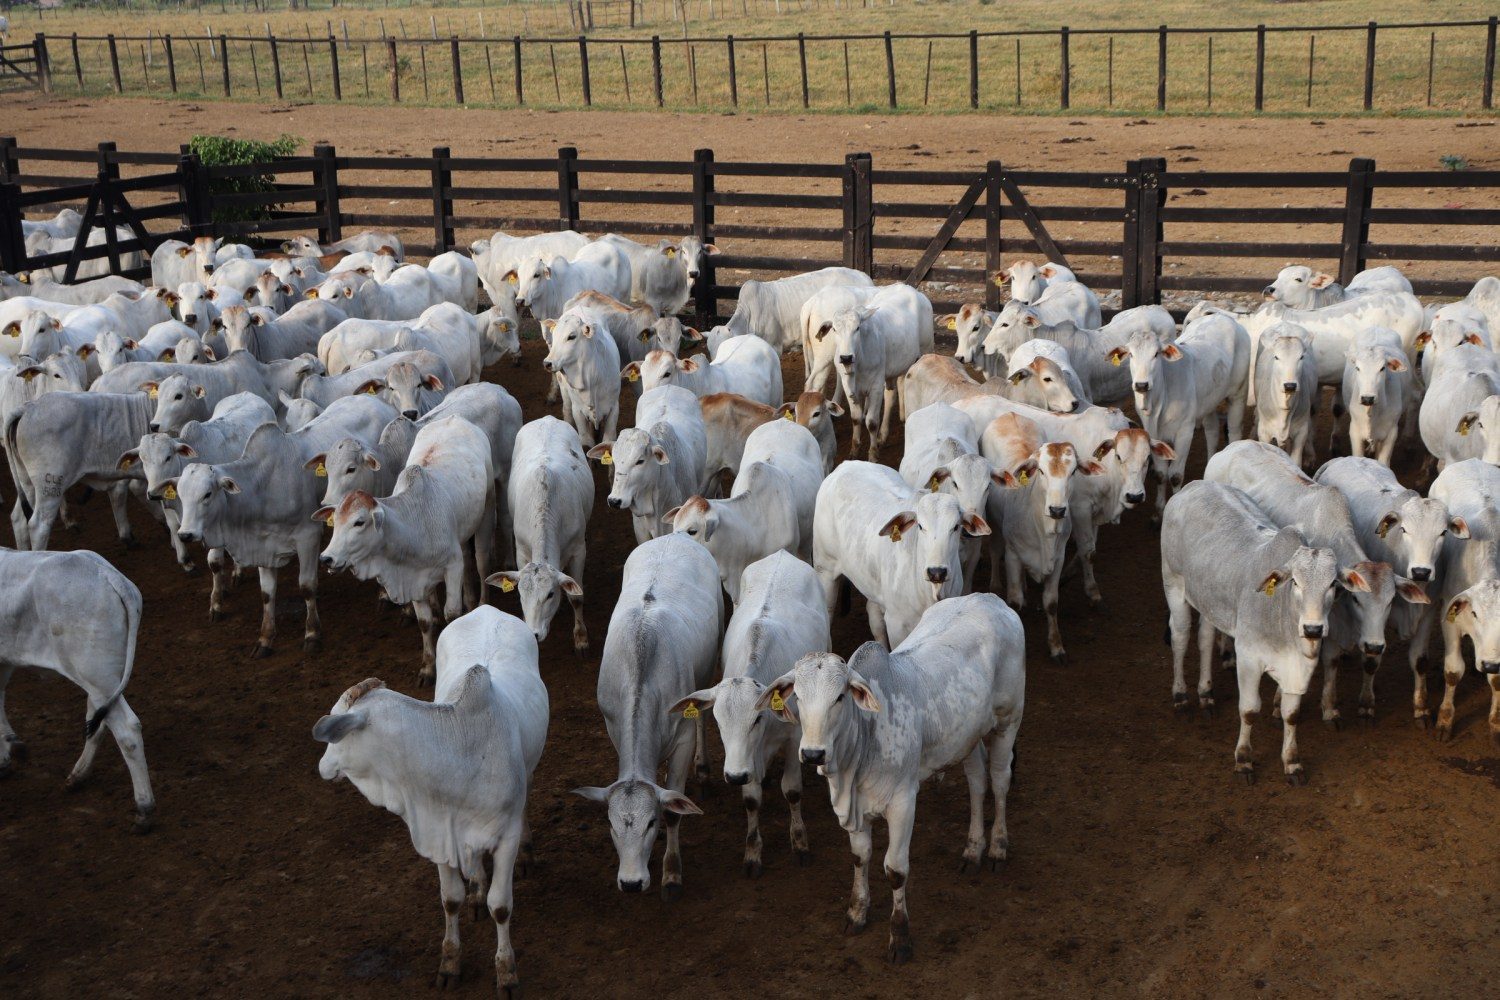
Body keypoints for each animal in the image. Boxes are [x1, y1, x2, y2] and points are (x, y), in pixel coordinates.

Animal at [0, 551, 153, 833]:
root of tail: (109, 575)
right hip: (100, 680)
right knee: (98, 722)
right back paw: (77, 776)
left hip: (95, 674)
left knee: (127, 730)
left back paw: (144, 809)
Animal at [318, 419, 498, 683]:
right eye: (336, 521)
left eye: (359, 522)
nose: (327, 558)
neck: (415, 523)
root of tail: (455, 418)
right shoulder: (414, 576)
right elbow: (424, 623)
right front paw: (427, 668)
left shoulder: (452, 565)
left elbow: (452, 614)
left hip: (487, 510)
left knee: (482, 560)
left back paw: (482, 601)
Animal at [486, 413, 591, 653]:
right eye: (520, 593)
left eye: (550, 594)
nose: (534, 634)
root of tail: (548, 418)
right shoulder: (522, 551)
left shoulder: (579, 549)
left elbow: (577, 598)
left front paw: (581, 638)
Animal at [756, 593, 1026, 959]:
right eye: (797, 695)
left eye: (839, 697)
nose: (812, 753)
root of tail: (991, 599)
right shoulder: (854, 811)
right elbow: (860, 857)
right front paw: (856, 912)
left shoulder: (902, 804)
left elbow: (895, 870)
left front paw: (900, 936)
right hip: (967, 736)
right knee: (976, 781)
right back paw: (973, 851)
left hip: (1009, 720)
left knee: (999, 779)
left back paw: (997, 847)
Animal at [1158, 479, 1350, 785]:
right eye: (1295, 582)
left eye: (1332, 584)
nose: (1313, 628)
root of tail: (1193, 486)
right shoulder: (1248, 658)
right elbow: (1249, 710)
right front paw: (1244, 760)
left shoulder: (1299, 667)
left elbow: (1291, 715)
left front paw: (1292, 763)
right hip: (1173, 583)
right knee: (1180, 637)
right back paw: (1181, 698)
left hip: (1210, 601)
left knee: (1205, 639)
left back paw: (1206, 695)